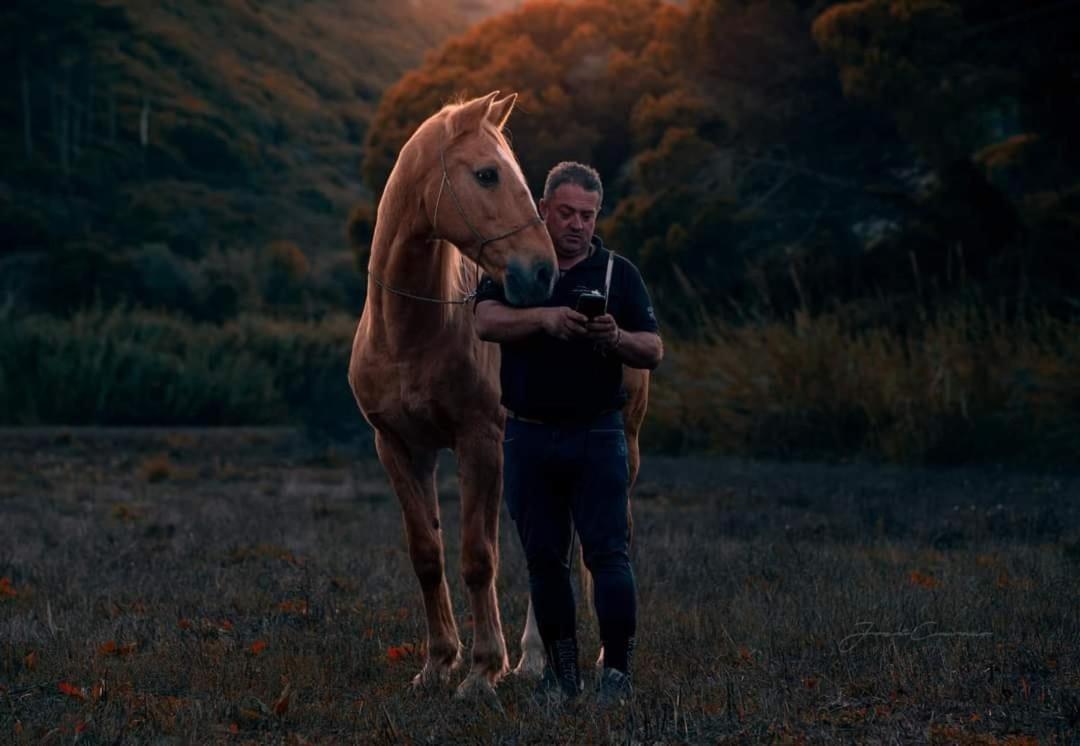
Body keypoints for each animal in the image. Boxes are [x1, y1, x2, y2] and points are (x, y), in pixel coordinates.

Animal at [349, 90, 643, 703]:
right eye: (487, 174)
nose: (542, 271)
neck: (410, 334)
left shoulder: (478, 443)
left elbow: (478, 558)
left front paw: (484, 670)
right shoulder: (398, 448)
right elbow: (427, 555)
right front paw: (439, 663)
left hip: (618, 448)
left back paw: (557, 658)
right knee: (549, 550)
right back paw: (534, 659)